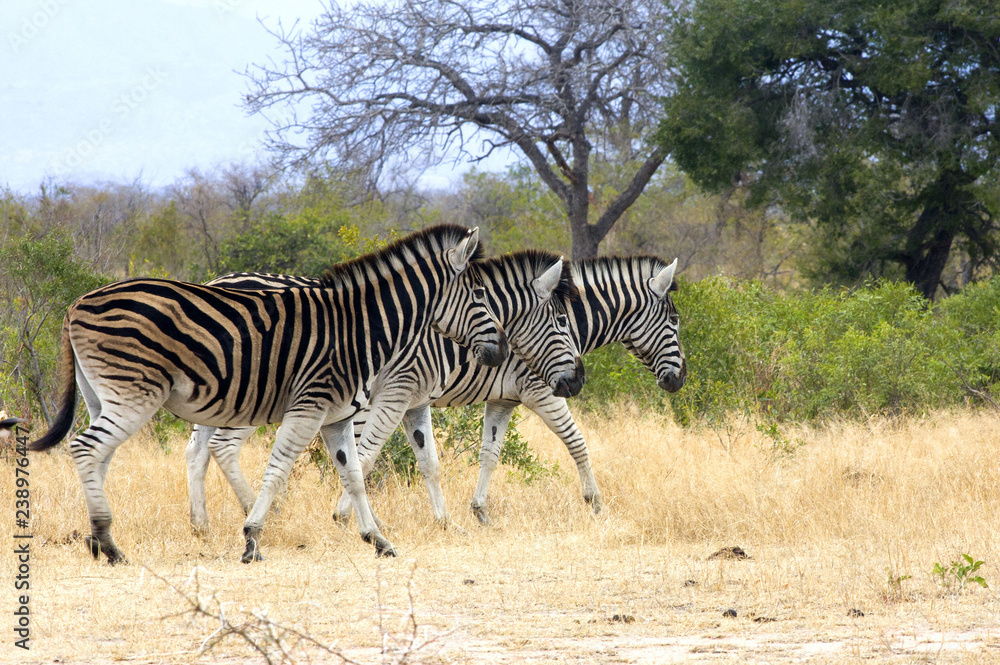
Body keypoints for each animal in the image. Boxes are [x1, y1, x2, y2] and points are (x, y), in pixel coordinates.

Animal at [28, 225, 507, 564]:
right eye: (480, 295)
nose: (502, 350)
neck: (360, 329)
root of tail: (78, 302)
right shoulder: (310, 406)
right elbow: (277, 471)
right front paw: (252, 538)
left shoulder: (337, 417)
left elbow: (353, 475)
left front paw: (377, 539)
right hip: (135, 394)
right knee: (87, 449)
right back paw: (109, 545)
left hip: (103, 396)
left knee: (101, 455)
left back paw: (98, 541)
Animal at [185, 249, 584, 533]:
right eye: (562, 321)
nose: (579, 380)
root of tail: (219, 279)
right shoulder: (392, 393)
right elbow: (364, 458)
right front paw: (355, 520)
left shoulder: (416, 400)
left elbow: (427, 461)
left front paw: (443, 521)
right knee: (223, 446)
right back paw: (261, 510)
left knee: (197, 450)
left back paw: (202, 523)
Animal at [333, 255, 685, 526]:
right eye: (674, 319)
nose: (680, 379)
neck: (562, 327)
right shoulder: (542, 391)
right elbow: (577, 442)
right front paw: (595, 503)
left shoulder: (503, 400)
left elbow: (489, 454)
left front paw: (481, 511)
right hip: (368, 403)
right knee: (358, 458)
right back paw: (357, 518)